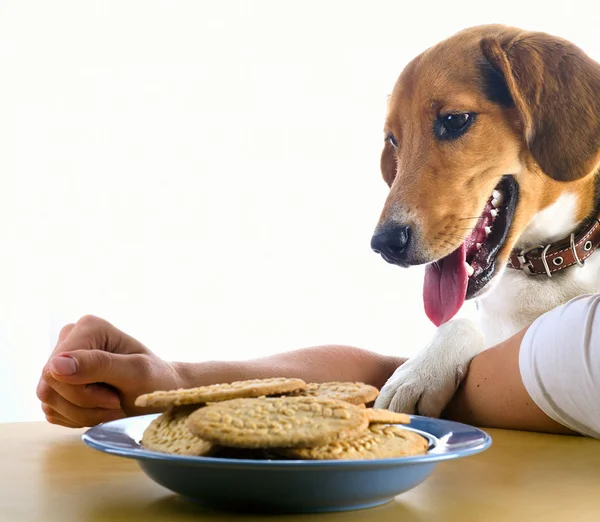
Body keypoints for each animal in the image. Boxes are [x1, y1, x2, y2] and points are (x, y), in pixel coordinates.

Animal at [370, 25, 600, 414]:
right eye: (393, 140)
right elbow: (459, 321)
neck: (547, 268)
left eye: (454, 120)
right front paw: (418, 372)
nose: (384, 244)